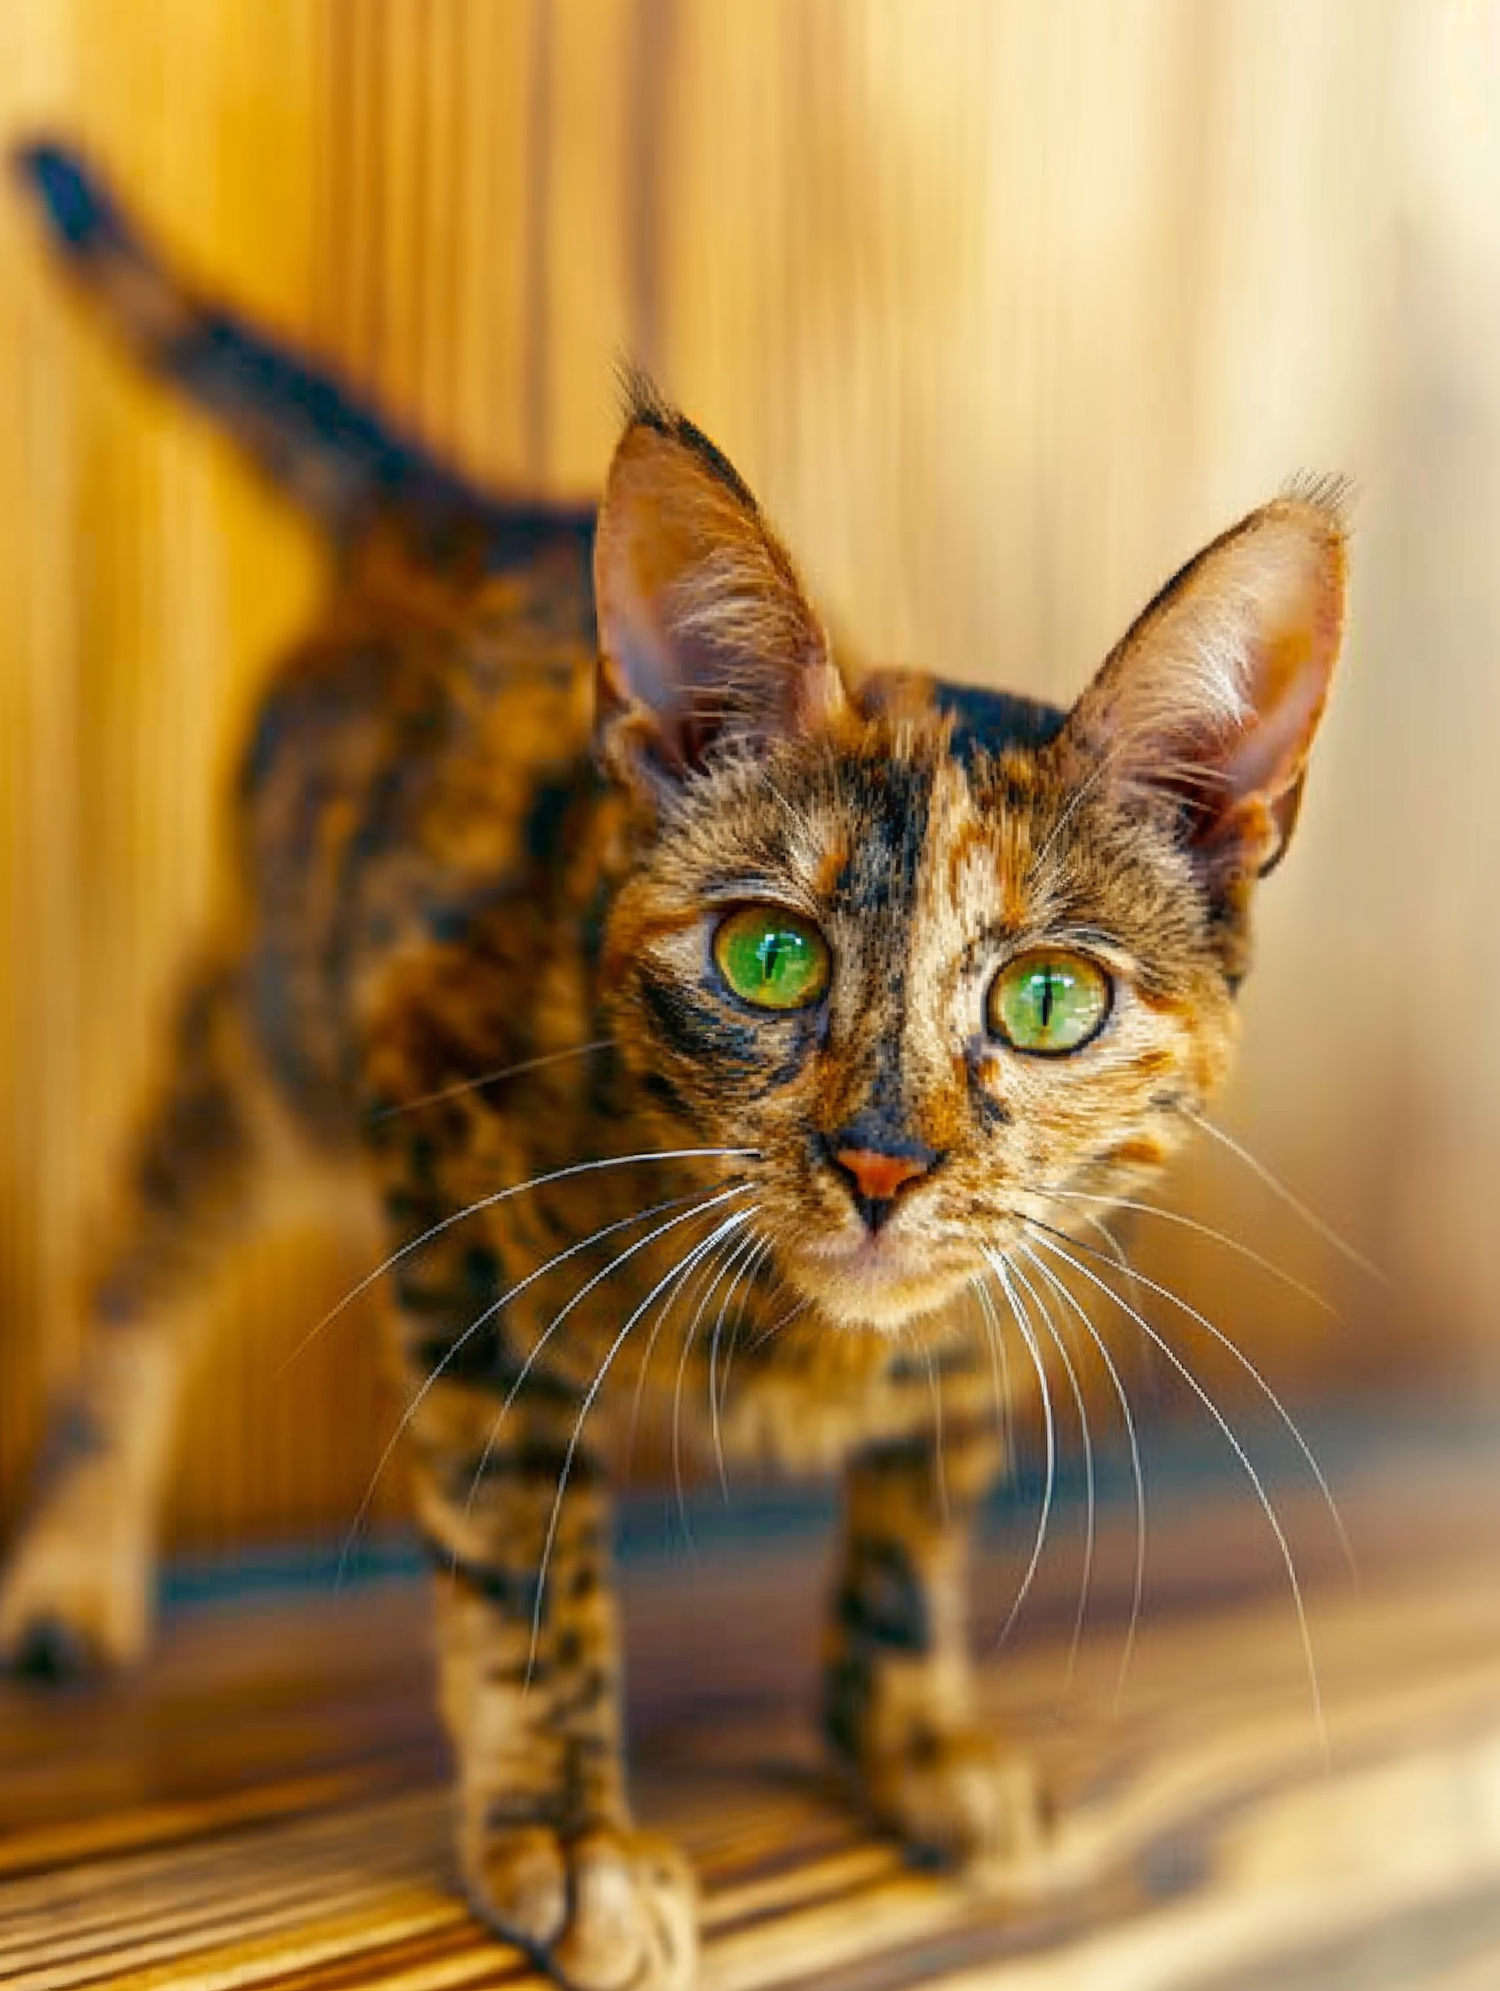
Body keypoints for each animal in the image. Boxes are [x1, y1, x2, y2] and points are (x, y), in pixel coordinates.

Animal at [0, 144, 1346, 1991]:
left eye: (1050, 999)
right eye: (766, 956)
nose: (882, 1159)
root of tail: (462, 509)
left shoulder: (1017, 1277)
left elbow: (919, 1515)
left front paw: (909, 1740)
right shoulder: (448, 1171)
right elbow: (525, 1547)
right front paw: (565, 1831)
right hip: (274, 1024)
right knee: (143, 1249)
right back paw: (68, 1565)